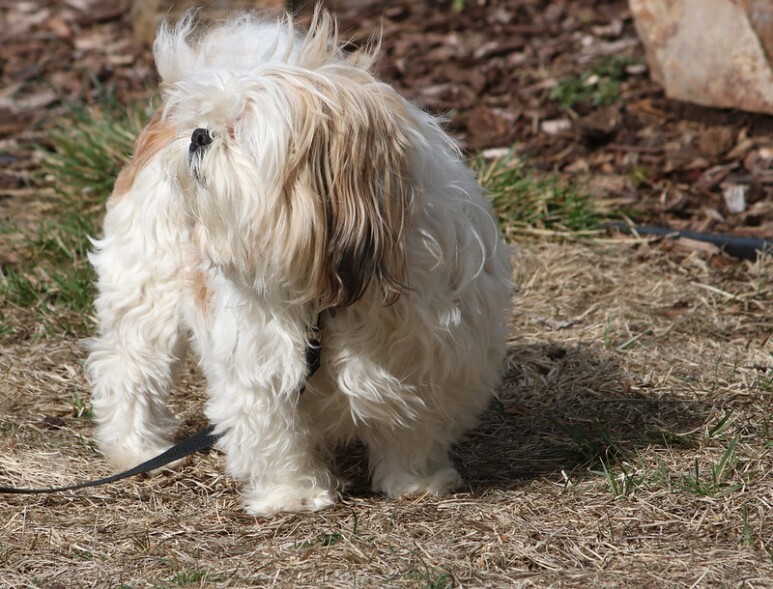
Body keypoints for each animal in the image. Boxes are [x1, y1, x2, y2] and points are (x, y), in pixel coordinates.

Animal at [87, 10, 510, 516]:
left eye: (240, 129)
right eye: (212, 123)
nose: (199, 135)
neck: (335, 292)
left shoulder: (432, 357)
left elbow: (413, 427)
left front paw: (417, 481)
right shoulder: (258, 362)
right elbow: (273, 434)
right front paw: (293, 493)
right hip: (145, 289)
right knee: (128, 367)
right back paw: (138, 446)